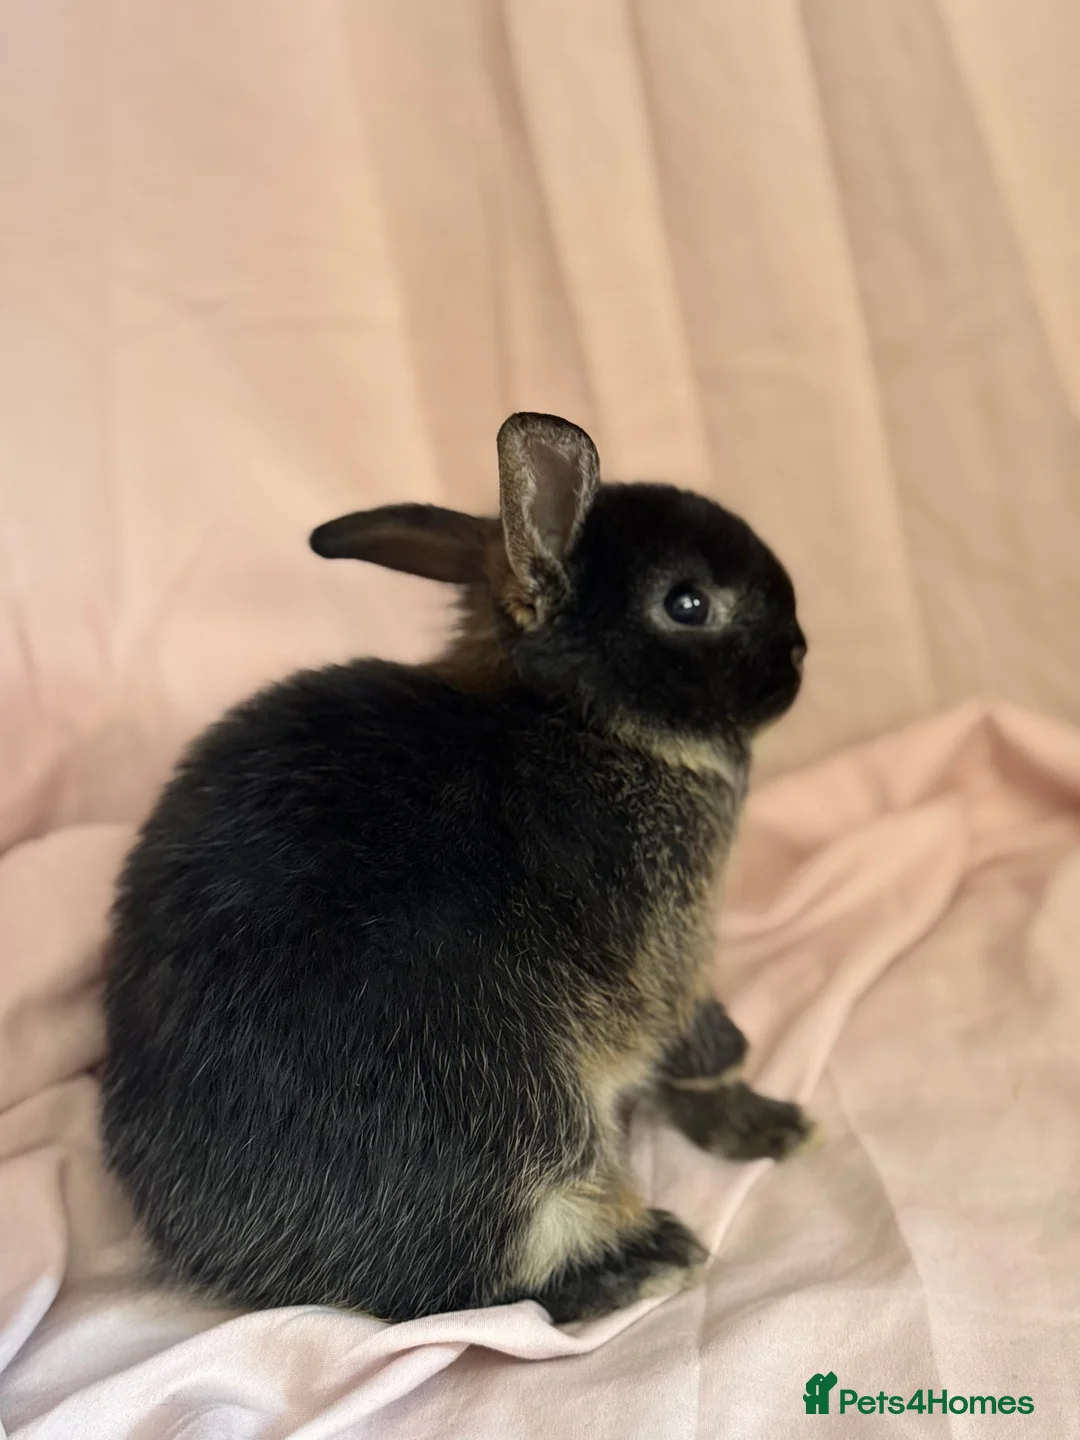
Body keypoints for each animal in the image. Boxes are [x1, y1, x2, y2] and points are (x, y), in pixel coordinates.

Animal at [100, 412, 812, 1325]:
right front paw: (766, 1124)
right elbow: (705, 1049)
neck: (585, 719)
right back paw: (651, 1257)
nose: (799, 649)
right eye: (689, 604)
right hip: (513, 1105)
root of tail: (232, 1261)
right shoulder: (673, 959)